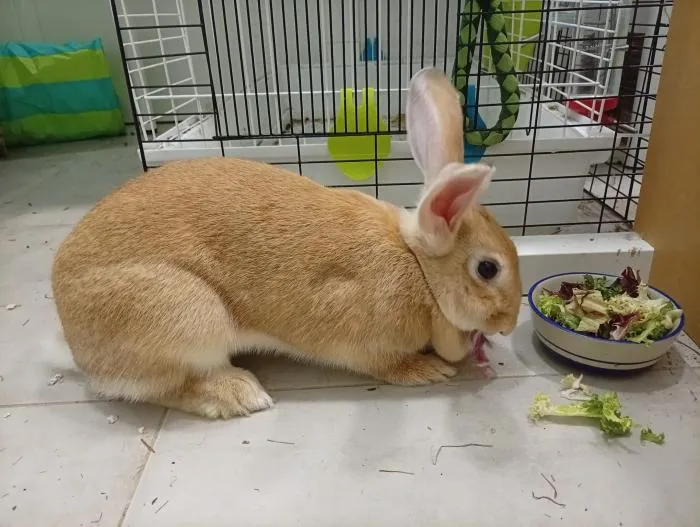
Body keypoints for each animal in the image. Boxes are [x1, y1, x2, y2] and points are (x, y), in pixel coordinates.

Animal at [51, 67, 521, 419]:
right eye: (488, 268)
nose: (508, 325)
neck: (419, 269)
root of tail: (76, 346)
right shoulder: (369, 345)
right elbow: (388, 365)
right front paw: (430, 370)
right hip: (188, 316)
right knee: (169, 386)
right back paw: (240, 394)